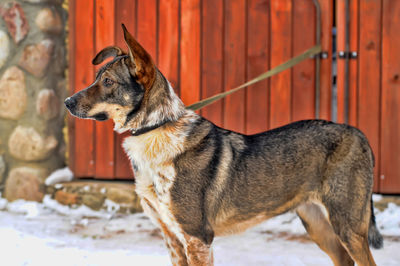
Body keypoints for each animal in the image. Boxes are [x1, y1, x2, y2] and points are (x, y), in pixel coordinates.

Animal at [66, 23, 384, 264]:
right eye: (97, 77)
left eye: (108, 82)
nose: (67, 102)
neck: (155, 131)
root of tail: (359, 133)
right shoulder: (172, 239)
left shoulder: (197, 238)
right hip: (318, 224)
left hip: (348, 225)